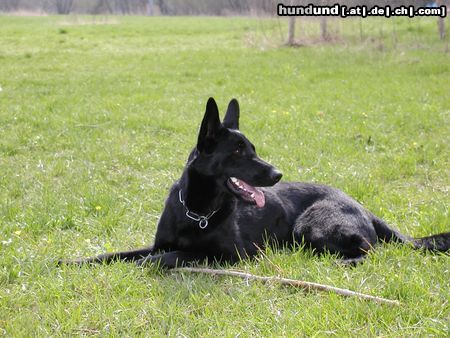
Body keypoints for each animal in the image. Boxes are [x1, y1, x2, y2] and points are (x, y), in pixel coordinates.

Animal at [61, 98, 448, 270]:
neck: (197, 211)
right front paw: (70, 262)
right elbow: (116, 254)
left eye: (254, 150)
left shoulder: (229, 256)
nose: (278, 175)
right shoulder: (156, 243)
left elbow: (174, 255)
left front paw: (148, 266)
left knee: (371, 252)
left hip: (313, 225)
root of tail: (362, 206)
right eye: (238, 151)